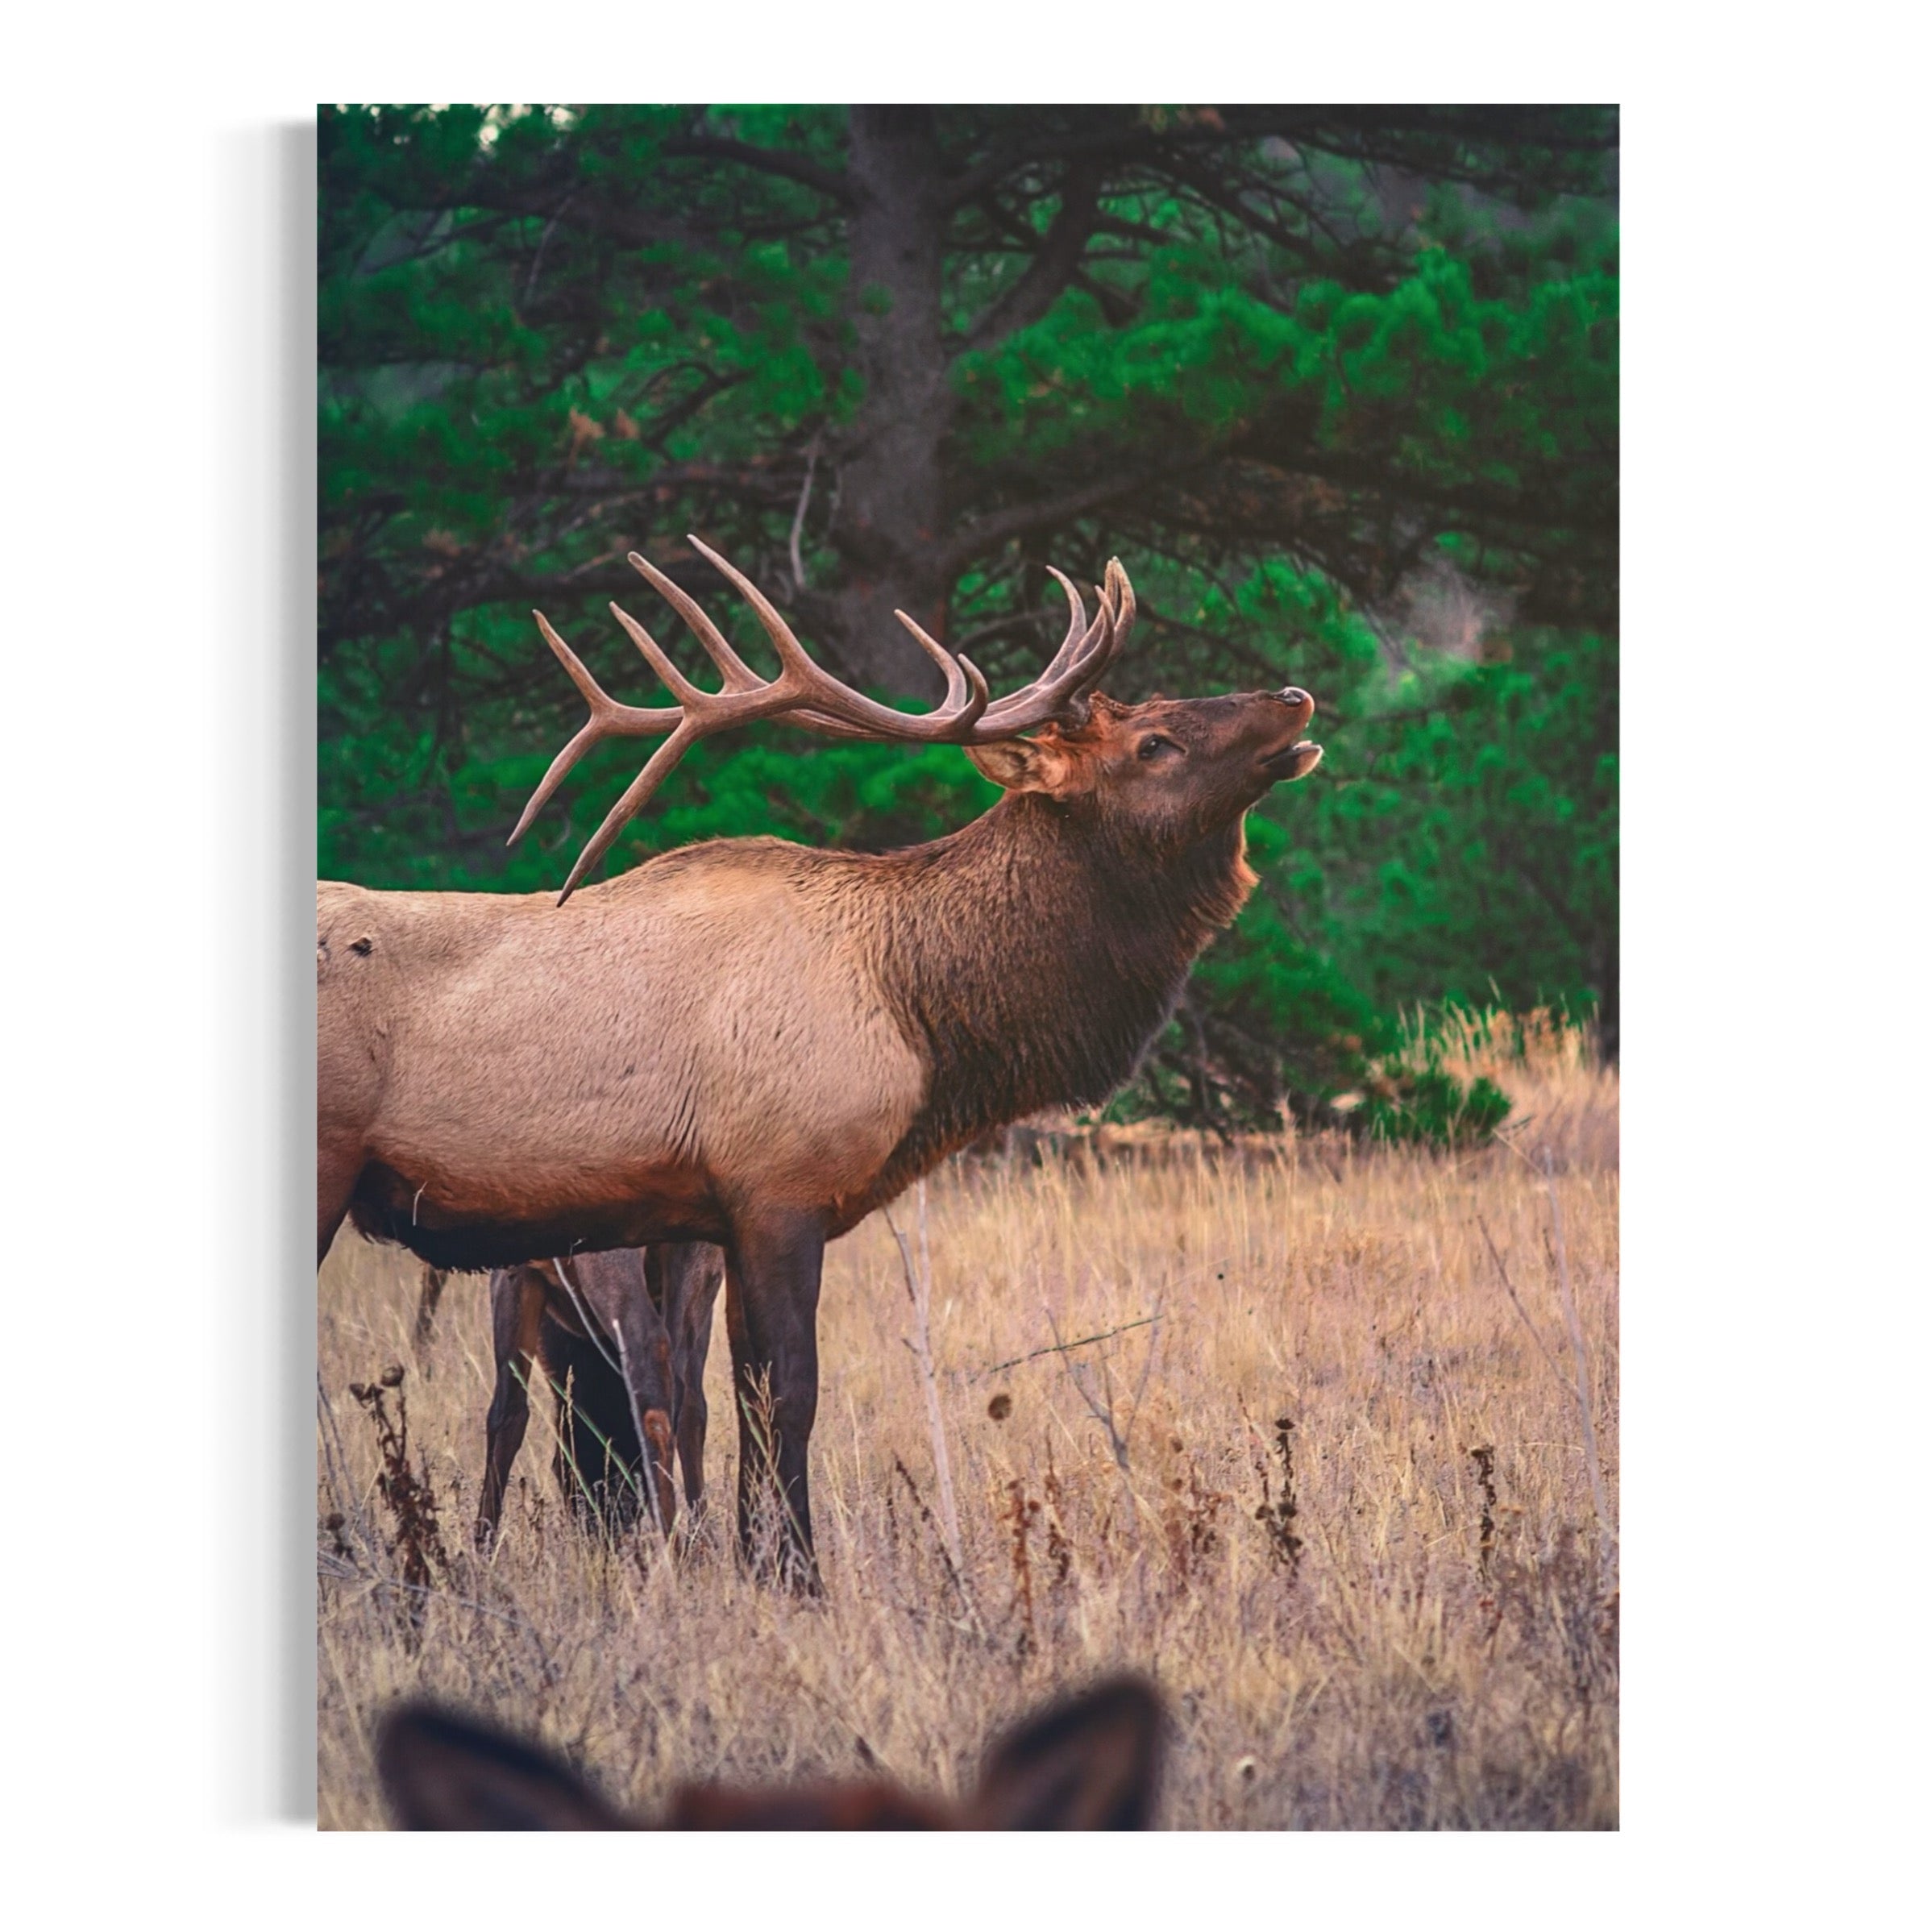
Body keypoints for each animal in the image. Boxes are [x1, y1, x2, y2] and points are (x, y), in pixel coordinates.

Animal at [317, 538, 1322, 1583]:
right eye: (1153, 743)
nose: (1295, 696)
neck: (916, 1013)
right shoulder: (780, 1187)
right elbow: (790, 1397)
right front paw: (798, 1577)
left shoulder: (715, 1214)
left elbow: (736, 1399)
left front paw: (752, 1564)